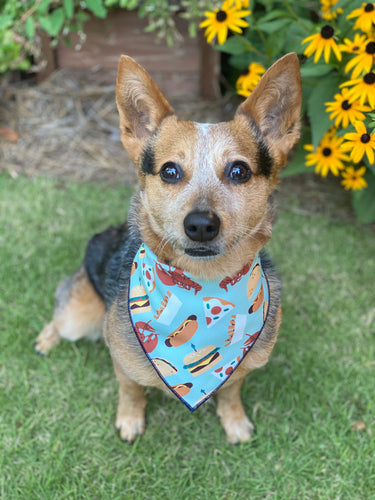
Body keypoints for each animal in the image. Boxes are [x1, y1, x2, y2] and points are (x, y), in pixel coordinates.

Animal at [35, 53, 302, 446]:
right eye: (170, 171)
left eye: (239, 171)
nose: (201, 224)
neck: (203, 286)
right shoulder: (123, 360)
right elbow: (130, 389)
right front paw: (130, 420)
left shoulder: (242, 367)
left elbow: (231, 390)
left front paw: (234, 420)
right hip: (78, 315)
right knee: (60, 314)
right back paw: (47, 337)